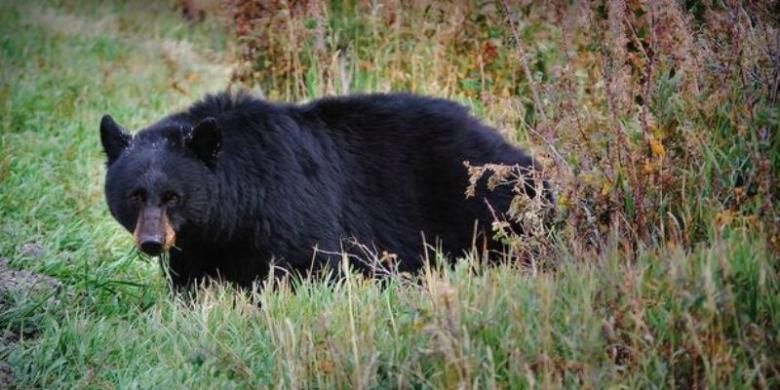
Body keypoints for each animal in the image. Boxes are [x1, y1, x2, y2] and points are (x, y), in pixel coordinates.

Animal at [99, 92, 548, 290]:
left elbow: (311, 263)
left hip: (482, 198)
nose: (152, 242)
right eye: (135, 195)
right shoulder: (199, 242)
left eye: (173, 195)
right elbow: (193, 280)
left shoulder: (288, 202)